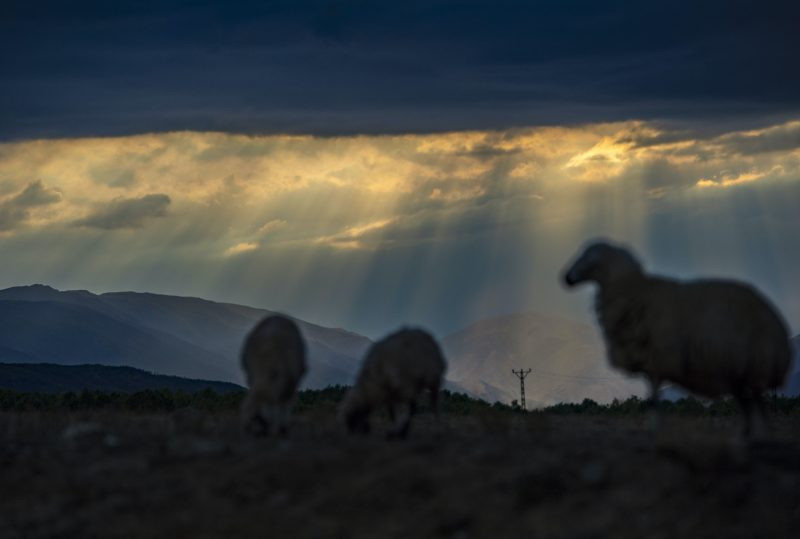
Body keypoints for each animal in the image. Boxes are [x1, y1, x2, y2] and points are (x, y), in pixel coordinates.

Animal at [564, 240, 792, 438]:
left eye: (587, 255)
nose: (566, 277)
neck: (633, 291)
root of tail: (777, 323)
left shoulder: (657, 359)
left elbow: (654, 401)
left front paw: (654, 429)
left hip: (755, 365)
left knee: (756, 406)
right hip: (740, 371)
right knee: (750, 406)